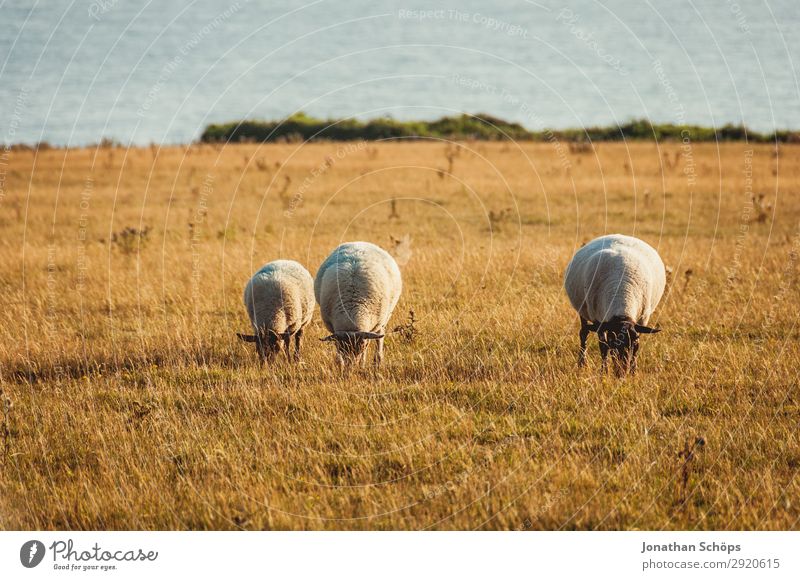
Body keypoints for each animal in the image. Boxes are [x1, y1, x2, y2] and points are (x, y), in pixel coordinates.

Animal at [316, 240, 404, 368]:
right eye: (341, 348)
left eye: (363, 346)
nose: (352, 367)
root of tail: (359, 242)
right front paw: (341, 364)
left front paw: (362, 364)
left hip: (384, 318)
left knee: (379, 337)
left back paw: (377, 361)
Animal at [560, 233, 664, 374]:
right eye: (612, 341)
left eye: (633, 343)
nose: (621, 373)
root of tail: (615, 235)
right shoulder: (598, 320)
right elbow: (603, 347)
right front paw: (604, 371)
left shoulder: (641, 321)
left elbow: (636, 351)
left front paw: (633, 371)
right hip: (584, 310)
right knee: (583, 333)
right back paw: (582, 363)